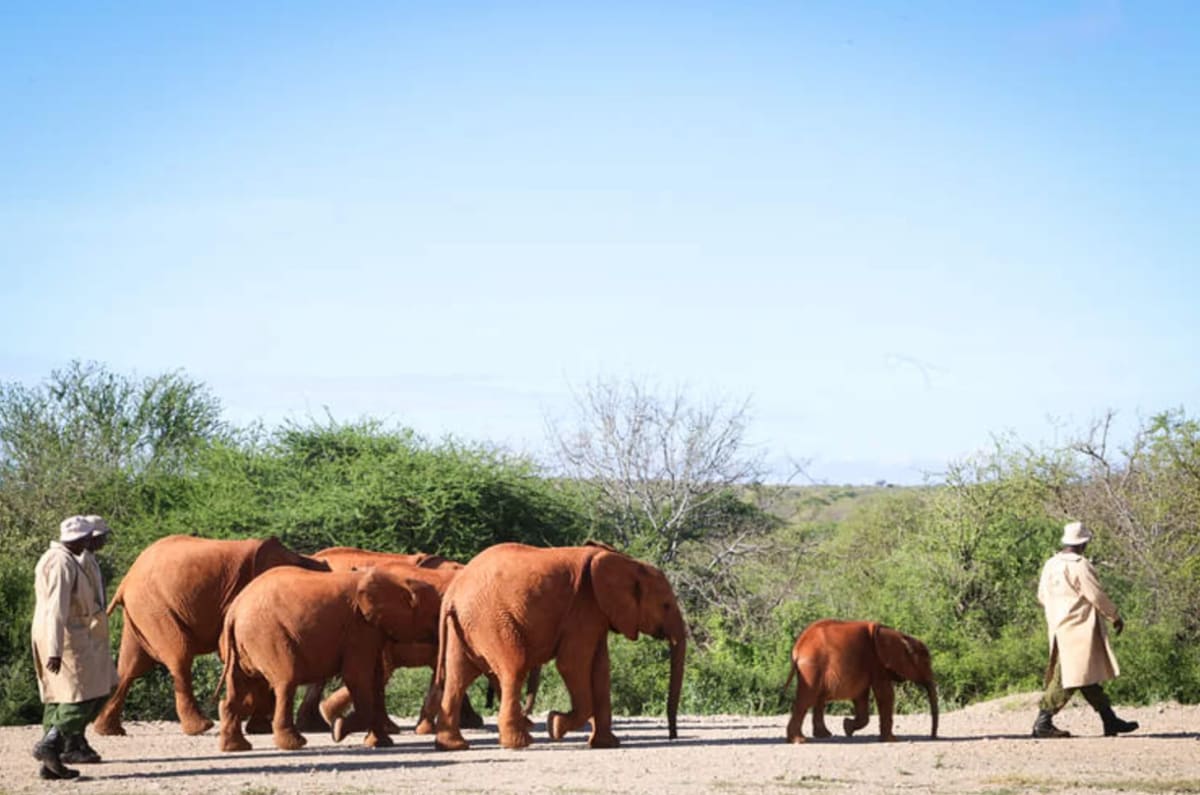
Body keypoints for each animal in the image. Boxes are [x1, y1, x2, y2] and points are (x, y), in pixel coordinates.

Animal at [94, 535, 330, 736]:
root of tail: (126, 580)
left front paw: (257, 726)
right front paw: (256, 723)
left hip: (141, 611)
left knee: (131, 666)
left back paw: (108, 731)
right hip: (154, 607)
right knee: (179, 657)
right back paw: (201, 727)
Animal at [216, 566, 440, 752]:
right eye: (435, 615)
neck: (400, 581)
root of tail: (234, 611)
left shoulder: (371, 630)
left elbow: (375, 679)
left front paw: (381, 743)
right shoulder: (359, 628)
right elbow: (358, 677)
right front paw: (338, 730)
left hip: (244, 644)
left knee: (238, 688)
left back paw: (236, 747)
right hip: (267, 635)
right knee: (286, 682)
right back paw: (294, 744)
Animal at [433, 541, 687, 751]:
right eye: (666, 605)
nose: (672, 736)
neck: (627, 562)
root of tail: (453, 592)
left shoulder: (596, 613)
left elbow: (600, 669)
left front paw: (607, 744)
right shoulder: (583, 608)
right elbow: (571, 665)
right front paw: (555, 725)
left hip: (465, 625)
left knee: (458, 677)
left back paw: (453, 746)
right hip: (491, 620)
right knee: (513, 669)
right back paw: (520, 743)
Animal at [784, 619, 938, 744]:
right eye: (926, 662)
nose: (933, 736)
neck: (900, 636)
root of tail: (798, 647)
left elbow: (861, 698)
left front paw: (847, 728)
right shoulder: (877, 663)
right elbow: (886, 694)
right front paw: (892, 740)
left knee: (818, 700)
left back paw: (824, 735)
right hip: (812, 667)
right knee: (806, 700)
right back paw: (799, 741)